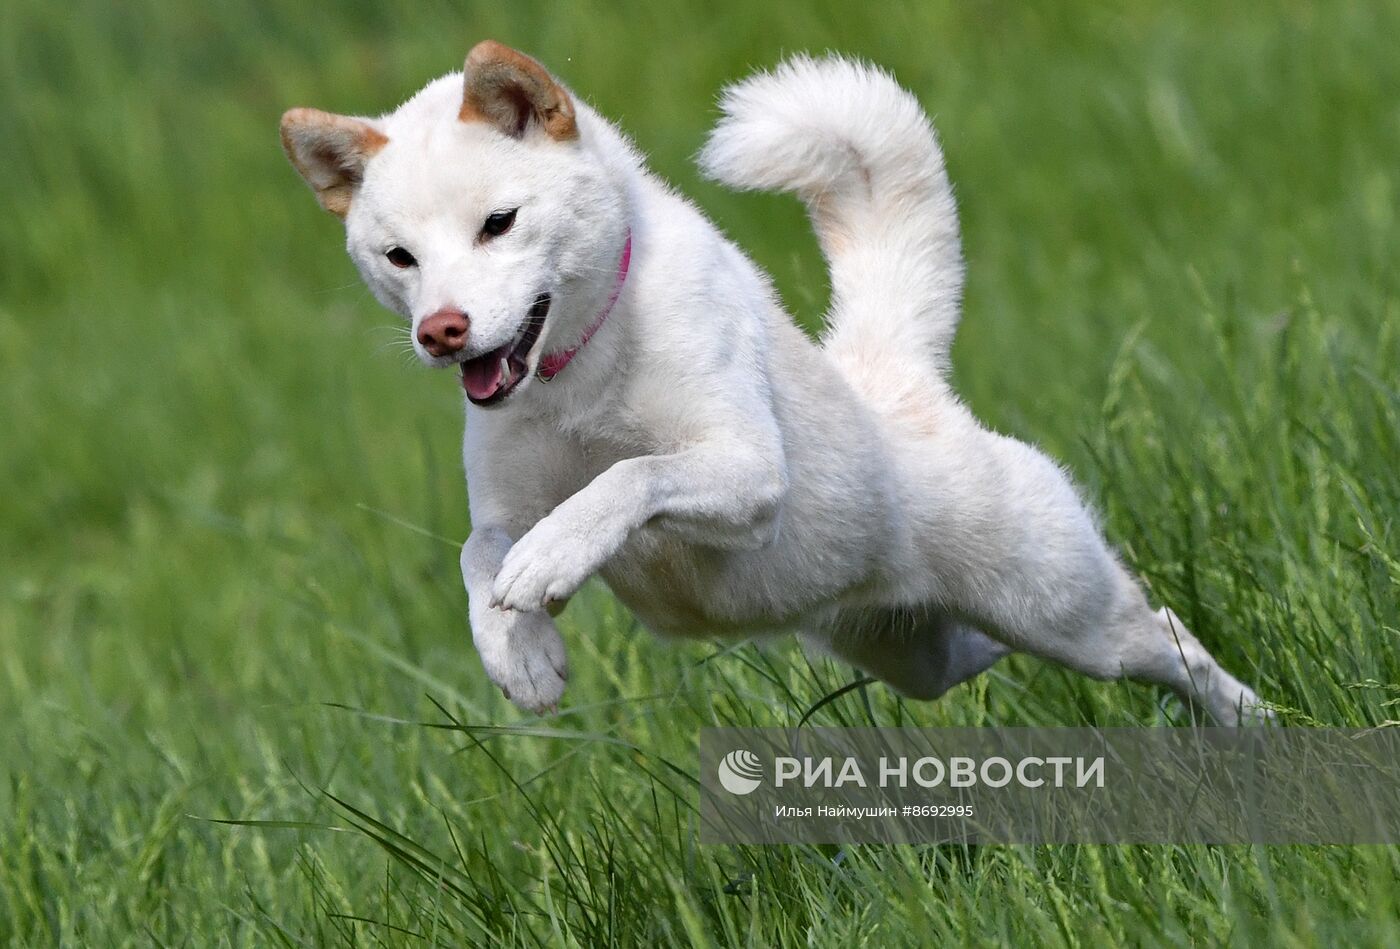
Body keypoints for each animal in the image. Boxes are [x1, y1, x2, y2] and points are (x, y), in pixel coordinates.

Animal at [278, 37, 1265, 722]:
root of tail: (897, 384)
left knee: (1168, 640)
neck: (580, 374)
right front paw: (522, 655)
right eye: (400, 256)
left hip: (1068, 612)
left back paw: (1255, 726)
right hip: (916, 654)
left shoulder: (749, 470)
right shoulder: (502, 507)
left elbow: (627, 478)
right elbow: (479, 554)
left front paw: (556, 558)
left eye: (498, 222)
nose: (441, 331)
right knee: (973, 654)